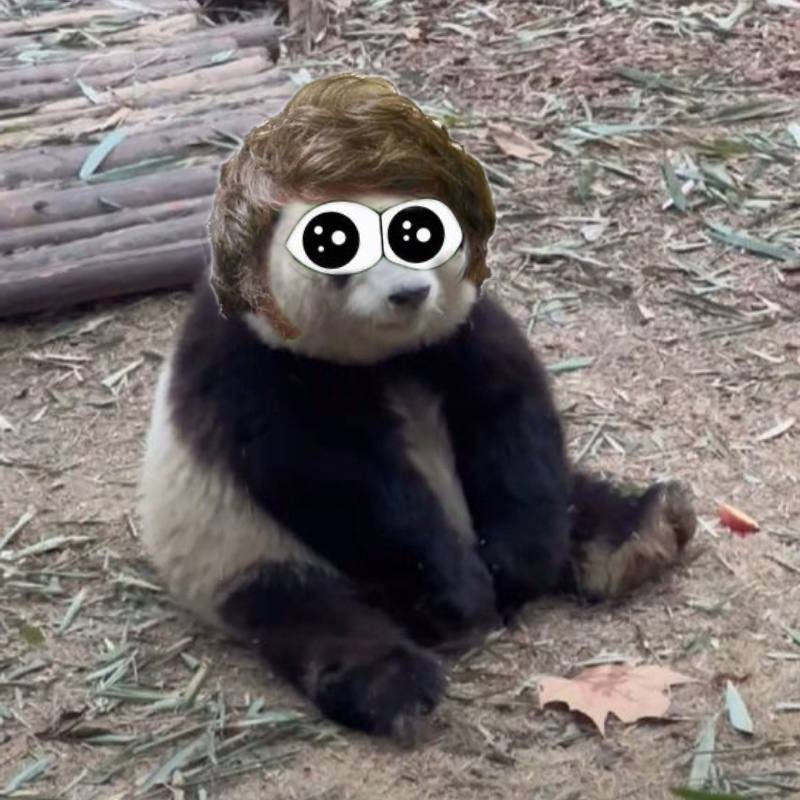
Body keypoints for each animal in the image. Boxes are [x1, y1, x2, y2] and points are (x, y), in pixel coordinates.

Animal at [137, 74, 696, 738]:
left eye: (419, 235)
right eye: (334, 244)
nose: (407, 293)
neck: (382, 355)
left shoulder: (459, 326)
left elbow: (508, 410)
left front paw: (518, 566)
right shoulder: (252, 360)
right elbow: (335, 477)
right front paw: (465, 596)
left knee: (569, 492)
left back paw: (644, 531)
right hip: (239, 548)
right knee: (314, 614)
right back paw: (395, 683)